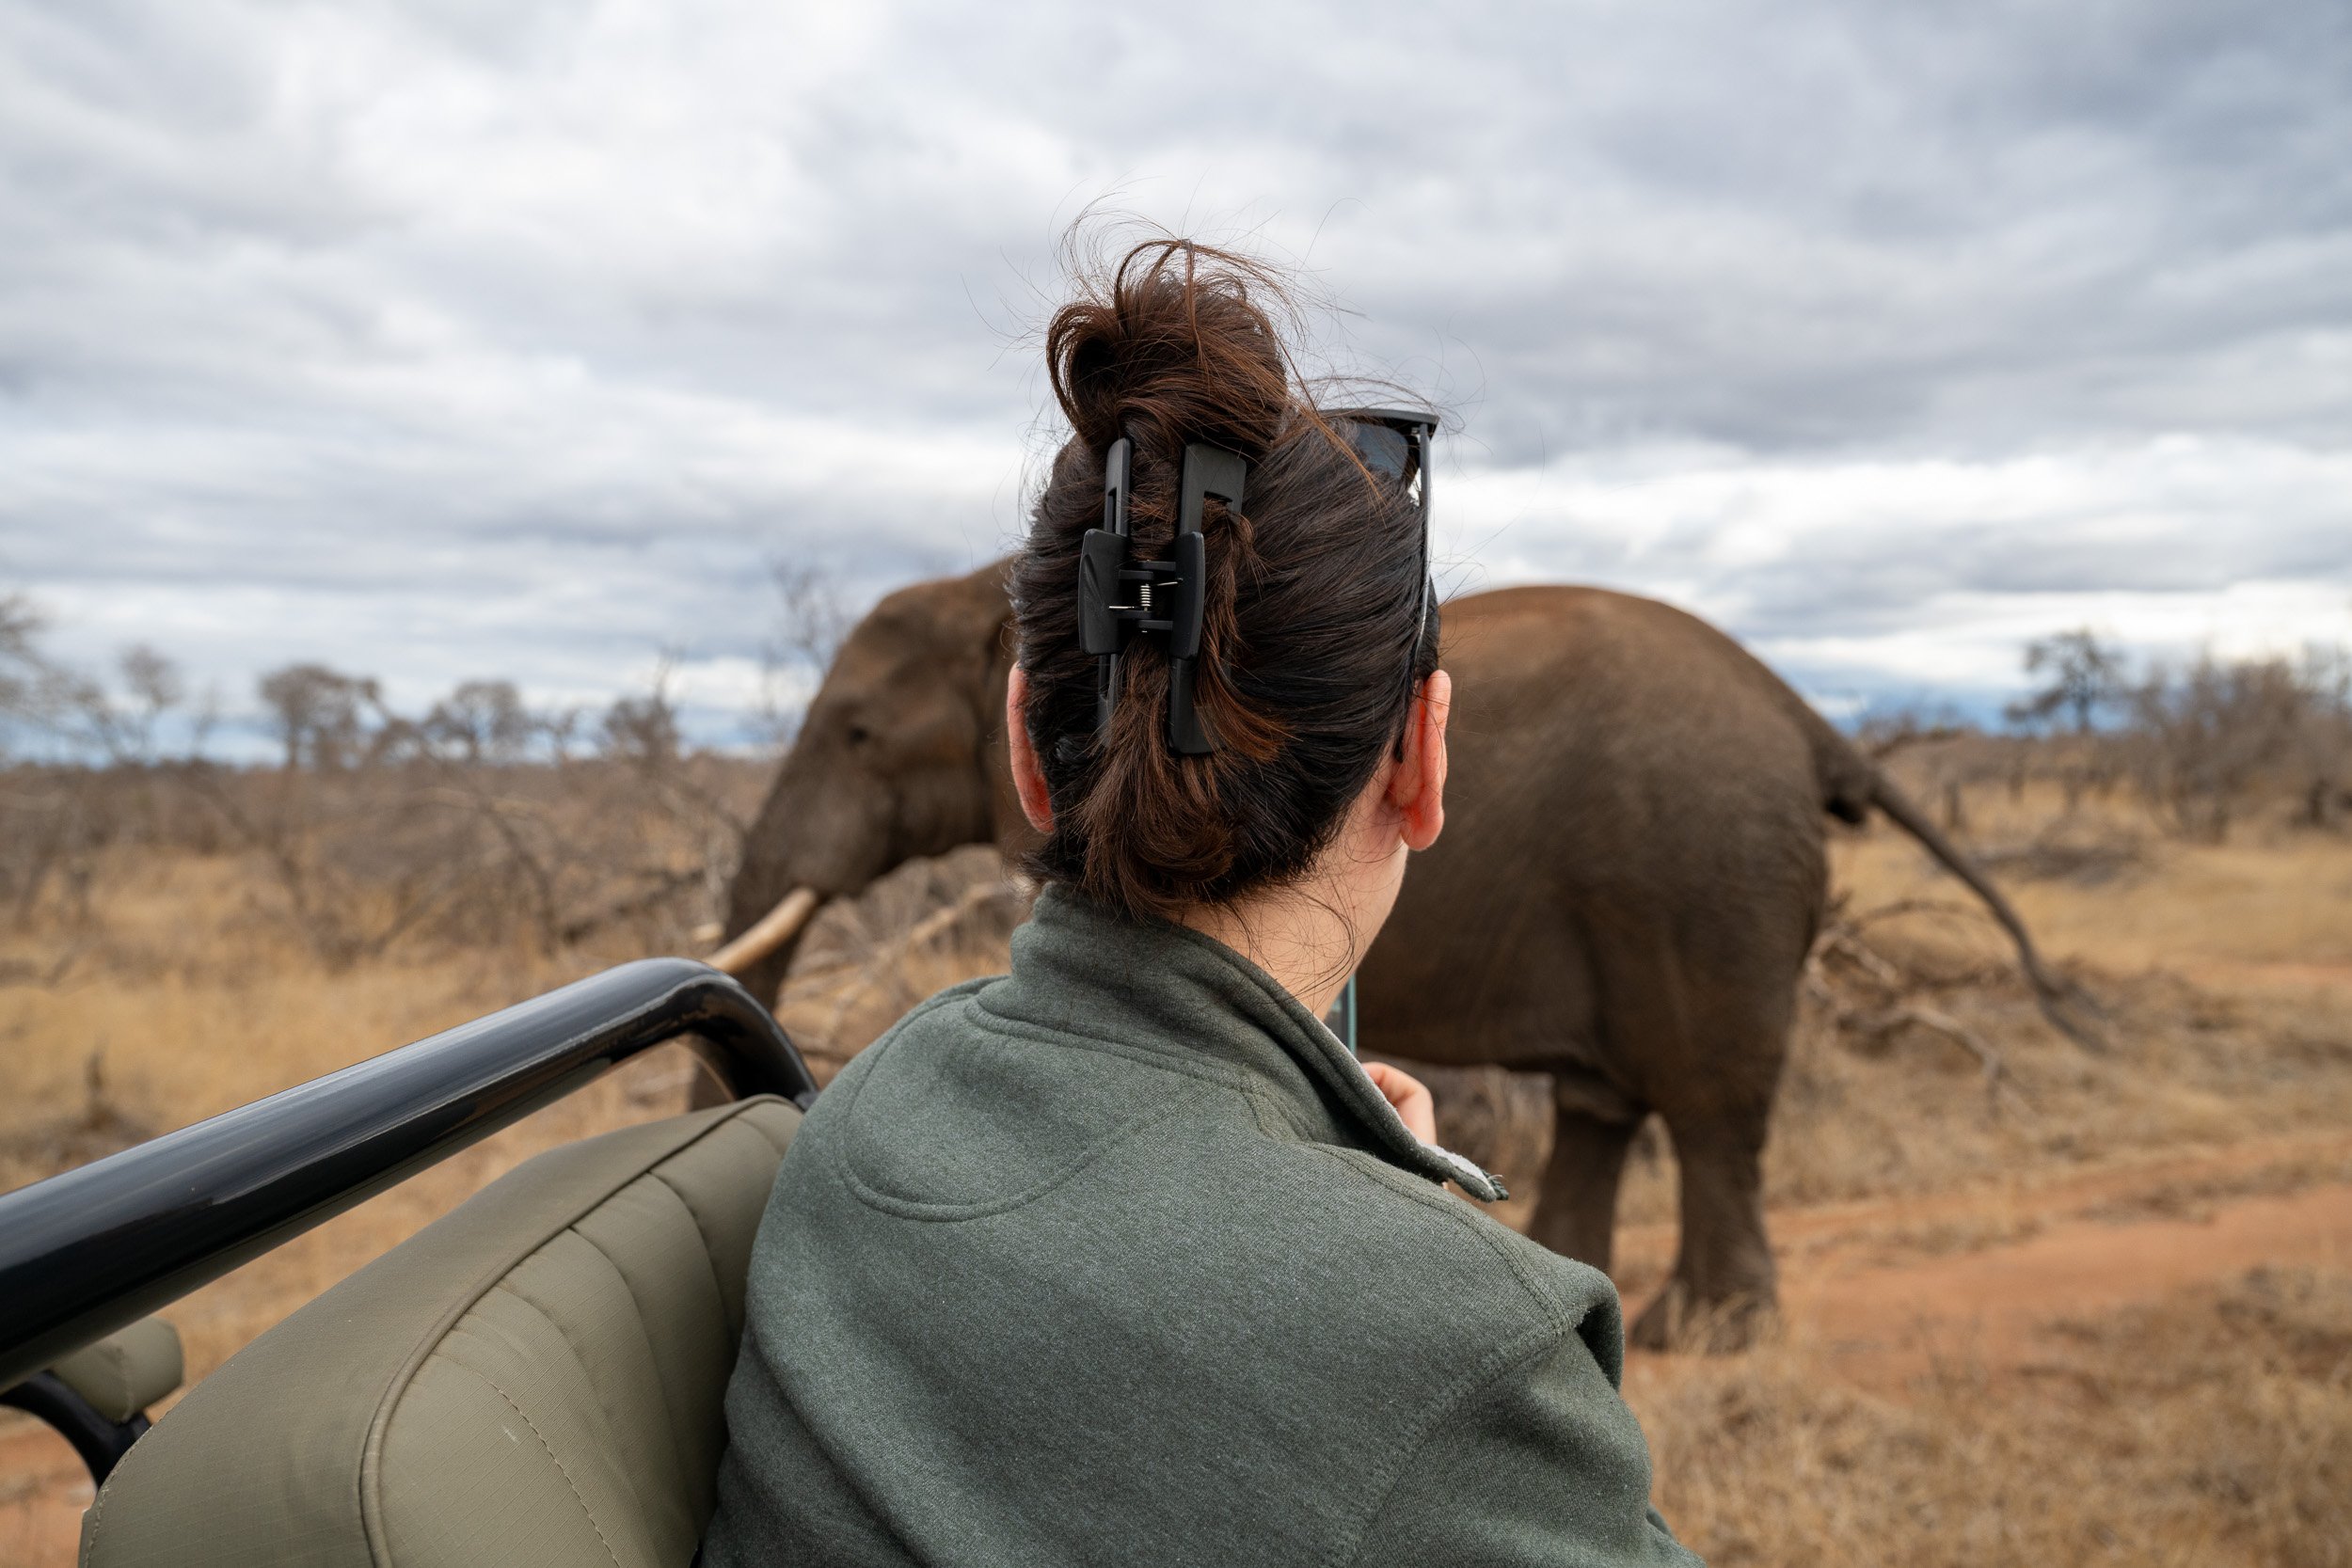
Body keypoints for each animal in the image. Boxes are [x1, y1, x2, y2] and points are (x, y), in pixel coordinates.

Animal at [719, 561, 2086, 1347]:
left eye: (857, 732)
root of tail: (1810, 720)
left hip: (1704, 878)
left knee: (1706, 1104)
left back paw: (1701, 1336)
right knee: (1606, 1101)